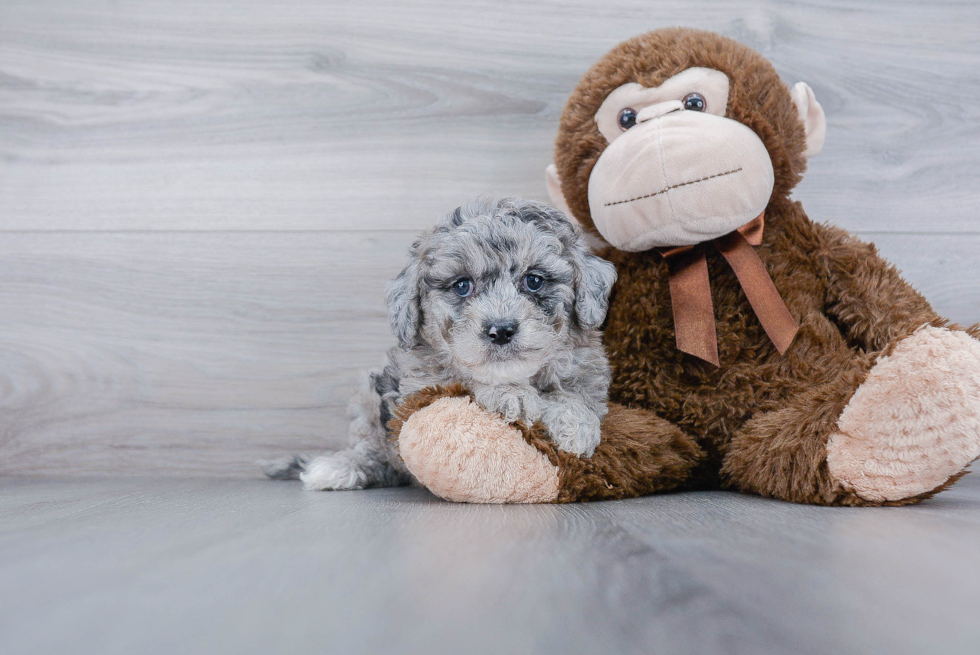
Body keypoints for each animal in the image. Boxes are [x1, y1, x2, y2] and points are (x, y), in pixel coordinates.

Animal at [264, 197, 616, 490]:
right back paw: (337, 468)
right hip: (368, 404)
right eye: (462, 285)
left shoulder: (587, 373)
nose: (501, 330)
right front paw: (510, 394)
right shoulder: (422, 385)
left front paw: (575, 426)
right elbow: (466, 379)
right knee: (371, 452)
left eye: (534, 281)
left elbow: (577, 397)